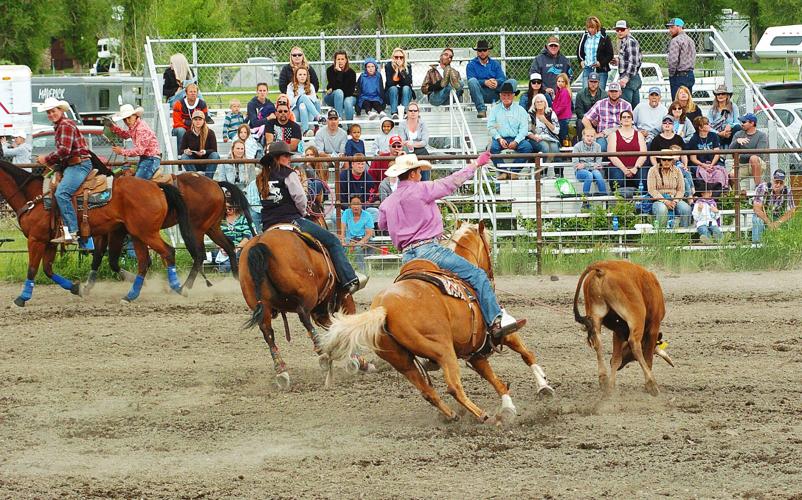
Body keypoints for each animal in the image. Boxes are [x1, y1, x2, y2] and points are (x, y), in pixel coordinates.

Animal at [0, 160, 199, 304]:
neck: (33, 197)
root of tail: (157, 187)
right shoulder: (49, 241)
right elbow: (48, 270)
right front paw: (76, 288)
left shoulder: (36, 239)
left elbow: (32, 269)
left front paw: (22, 298)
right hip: (137, 234)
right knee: (144, 262)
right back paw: (131, 295)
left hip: (146, 233)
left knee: (168, 252)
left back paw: (179, 288)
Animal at [84, 156, 253, 292]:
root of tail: (216, 183)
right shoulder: (103, 232)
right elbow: (98, 257)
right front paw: (87, 286)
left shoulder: (115, 231)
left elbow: (113, 259)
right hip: (211, 227)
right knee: (228, 246)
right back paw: (235, 280)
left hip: (195, 229)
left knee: (200, 255)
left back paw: (185, 286)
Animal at [239, 227, 368, 390]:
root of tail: (259, 243)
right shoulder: (335, 300)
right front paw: (356, 359)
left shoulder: (320, 310)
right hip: (306, 295)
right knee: (303, 316)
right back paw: (321, 352)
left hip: (263, 305)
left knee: (267, 331)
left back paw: (281, 370)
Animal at [318, 225, 552, 424]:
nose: (491, 272)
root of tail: (384, 309)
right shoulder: (500, 336)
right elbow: (526, 353)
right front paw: (543, 386)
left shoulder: (474, 352)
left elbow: (495, 380)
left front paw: (508, 408)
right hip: (443, 349)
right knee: (453, 387)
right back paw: (481, 415)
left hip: (401, 361)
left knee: (427, 392)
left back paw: (452, 416)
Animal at [572, 260, 672, 396]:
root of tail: (603, 267)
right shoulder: (654, 327)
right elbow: (648, 357)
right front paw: (648, 384)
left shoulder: (618, 331)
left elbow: (616, 358)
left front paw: (611, 385)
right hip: (636, 317)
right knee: (634, 343)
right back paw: (652, 383)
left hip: (595, 316)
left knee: (598, 343)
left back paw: (603, 379)